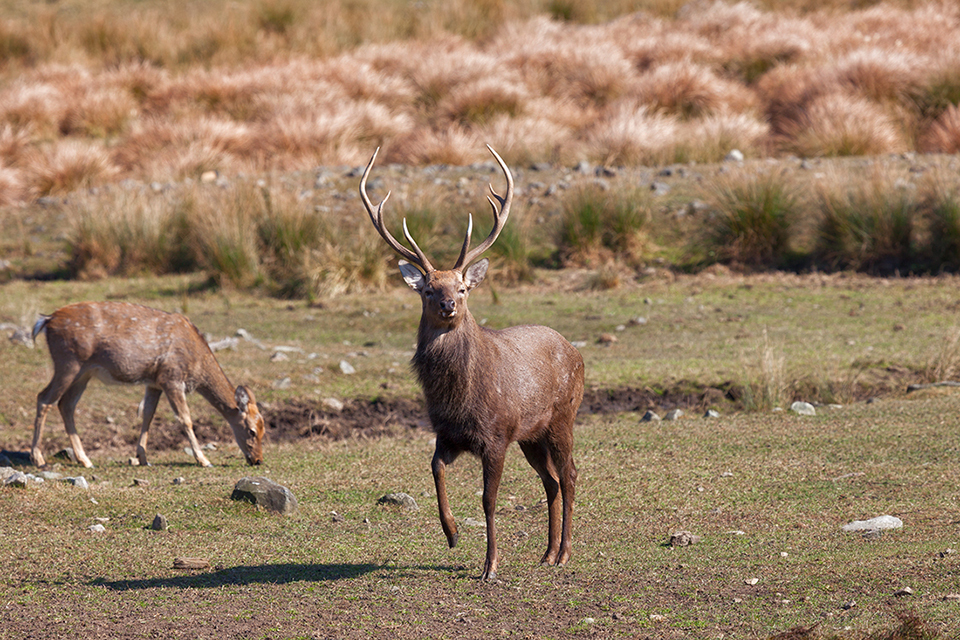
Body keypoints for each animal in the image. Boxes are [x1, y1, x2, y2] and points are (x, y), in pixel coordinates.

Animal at [31, 302, 264, 468]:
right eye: (252, 431)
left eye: (264, 431)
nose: (258, 460)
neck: (196, 364)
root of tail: (46, 321)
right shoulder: (172, 377)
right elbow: (185, 419)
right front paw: (204, 460)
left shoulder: (154, 382)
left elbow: (148, 414)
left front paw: (142, 457)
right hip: (68, 362)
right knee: (44, 398)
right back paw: (38, 458)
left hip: (83, 373)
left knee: (66, 404)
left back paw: (85, 460)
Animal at [360, 145, 584, 580]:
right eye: (428, 289)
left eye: (462, 287)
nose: (448, 304)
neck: (460, 398)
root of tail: (575, 350)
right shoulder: (446, 434)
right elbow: (435, 469)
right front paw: (451, 534)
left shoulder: (496, 435)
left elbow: (488, 501)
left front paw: (490, 565)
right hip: (531, 435)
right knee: (550, 480)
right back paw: (547, 553)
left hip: (562, 416)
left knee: (568, 474)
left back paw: (565, 552)